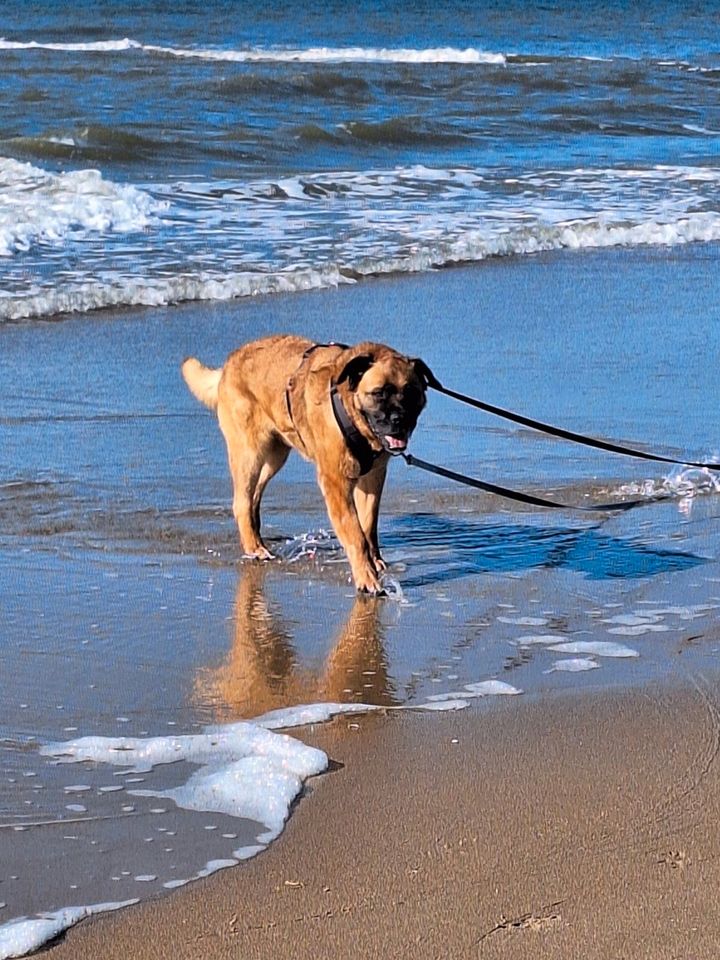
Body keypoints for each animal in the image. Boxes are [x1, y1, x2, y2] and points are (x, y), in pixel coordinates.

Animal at [181, 336, 428, 592]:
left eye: (411, 393)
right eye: (378, 393)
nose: (400, 421)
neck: (349, 407)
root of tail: (230, 363)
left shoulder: (373, 478)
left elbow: (368, 525)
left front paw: (374, 560)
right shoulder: (336, 485)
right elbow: (355, 533)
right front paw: (366, 576)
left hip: (276, 454)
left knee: (254, 495)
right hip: (250, 453)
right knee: (242, 501)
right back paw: (253, 547)